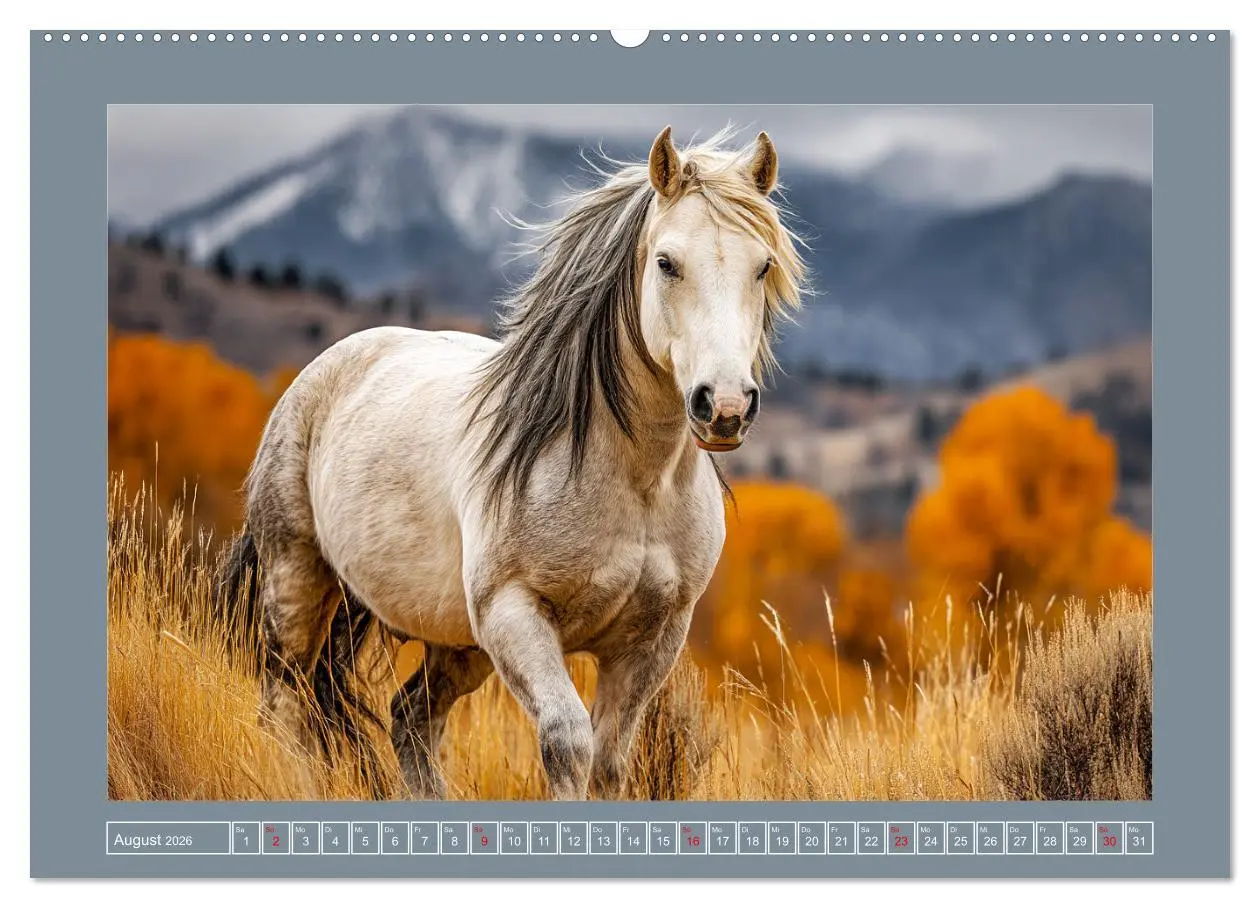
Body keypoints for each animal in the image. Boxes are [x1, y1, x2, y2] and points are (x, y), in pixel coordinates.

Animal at [221, 125, 807, 800]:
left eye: (763, 266)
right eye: (666, 263)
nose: (726, 406)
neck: (634, 481)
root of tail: (321, 373)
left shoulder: (651, 641)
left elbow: (610, 761)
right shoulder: (515, 614)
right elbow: (568, 744)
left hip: (457, 643)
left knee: (410, 719)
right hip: (297, 581)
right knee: (285, 706)